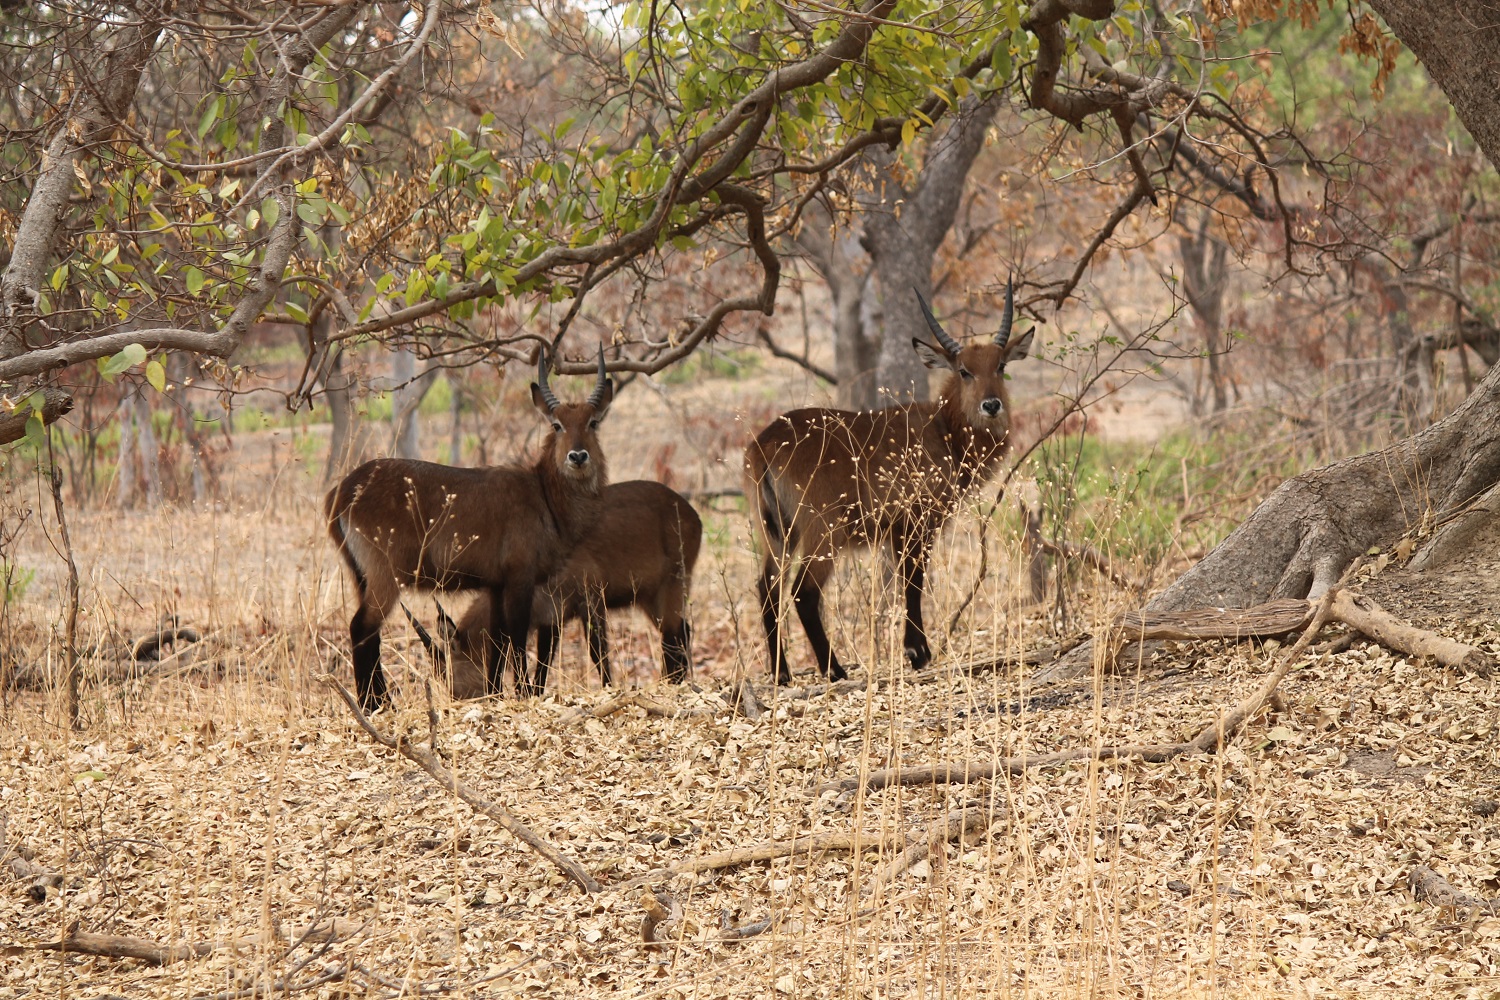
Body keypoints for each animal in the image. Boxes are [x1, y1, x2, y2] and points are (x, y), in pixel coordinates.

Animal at [325, 347, 612, 707]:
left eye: (593, 422)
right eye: (557, 424)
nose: (578, 456)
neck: (544, 495)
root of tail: (341, 492)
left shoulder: (495, 584)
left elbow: (498, 641)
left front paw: (495, 693)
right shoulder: (520, 577)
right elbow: (517, 635)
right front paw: (522, 693)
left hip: (360, 576)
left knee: (369, 633)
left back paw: (379, 703)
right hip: (384, 575)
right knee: (362, 628)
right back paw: (376, 705)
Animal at [411, 479, 702, 701]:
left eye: (446, 672)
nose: (455, 699)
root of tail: (694, 514)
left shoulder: (591, 597)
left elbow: (597, 651)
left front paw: (608, 689)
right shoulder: (550, 616)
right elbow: (543, 659)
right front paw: (533, 693)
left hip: (674, 583)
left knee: (675, 635)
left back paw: (673, 683)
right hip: (649, 597)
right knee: (680, 631)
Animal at [741, 284, 1032, 683]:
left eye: (1000, 365)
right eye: (964, 371)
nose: (992, 405)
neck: (944, 429)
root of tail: (763, 444)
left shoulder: (896, 531)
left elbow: (904, 582)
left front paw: (915, 649)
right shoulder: (917, 520)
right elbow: (913, 581)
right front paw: (918, 652)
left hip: (776, 531)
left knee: (768, 587)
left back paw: (781, 673)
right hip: (823, 530)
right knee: (803, 592)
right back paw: (834, 670)